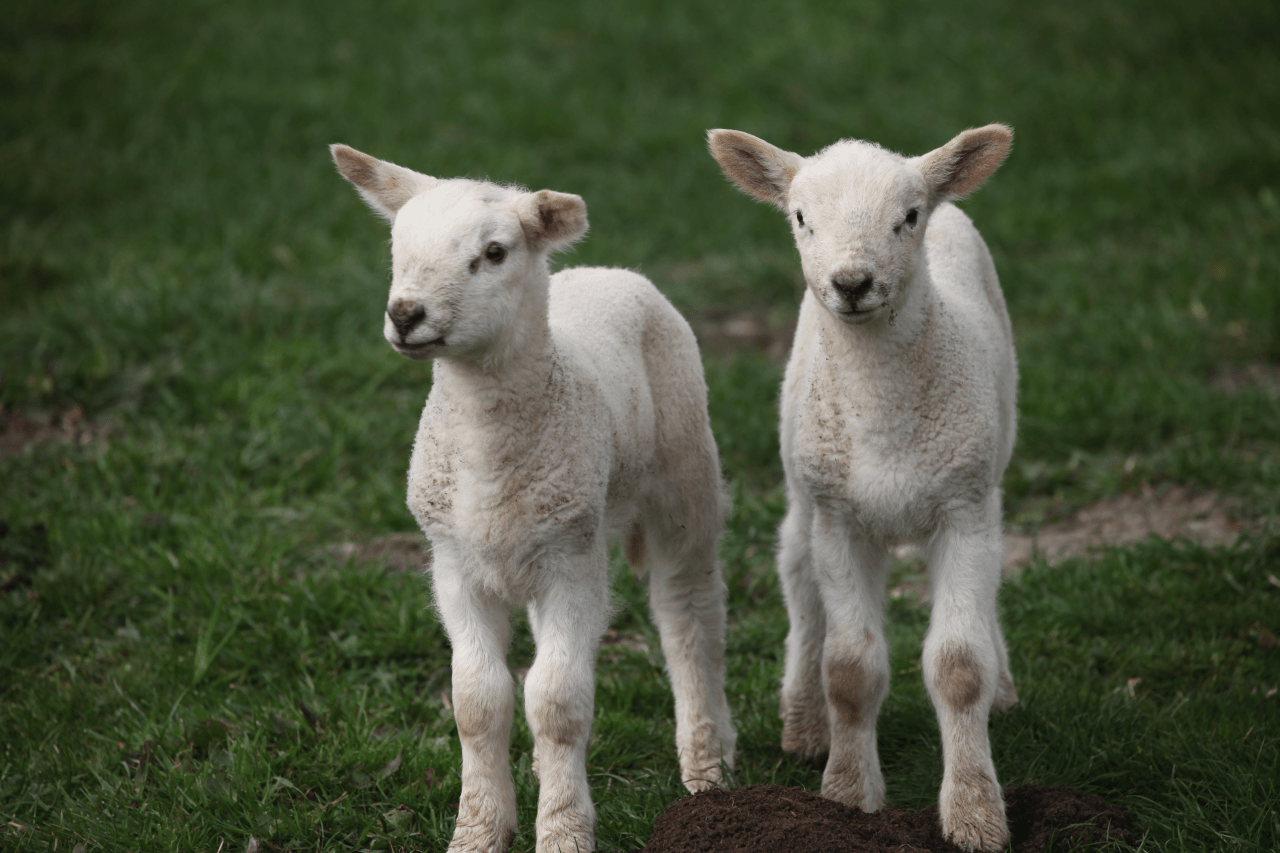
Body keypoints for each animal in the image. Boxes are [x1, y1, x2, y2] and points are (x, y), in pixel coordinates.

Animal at [331, 144, 736, 853]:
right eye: (397, 247)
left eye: (493, 253)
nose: (406, 315)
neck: (489, 458)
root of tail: (606, 271)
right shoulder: (456, 565)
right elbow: (478, 700)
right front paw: (480, 830)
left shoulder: (571, 564)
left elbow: (556, 703)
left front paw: (564, 832)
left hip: (683, 472)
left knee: (689, 612)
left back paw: (707, 763)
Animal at [708, 124, 1019, 852]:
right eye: (800, 217)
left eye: (907, 217)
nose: (852, 282)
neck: (885, 423)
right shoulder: (840, 517)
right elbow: (850, 671)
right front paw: (847, 795)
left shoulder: (963, 508)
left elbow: (959, 667)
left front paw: (974, 811)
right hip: (804, 483)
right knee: (797, 574)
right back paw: (804, 722)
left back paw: (1003, 686)